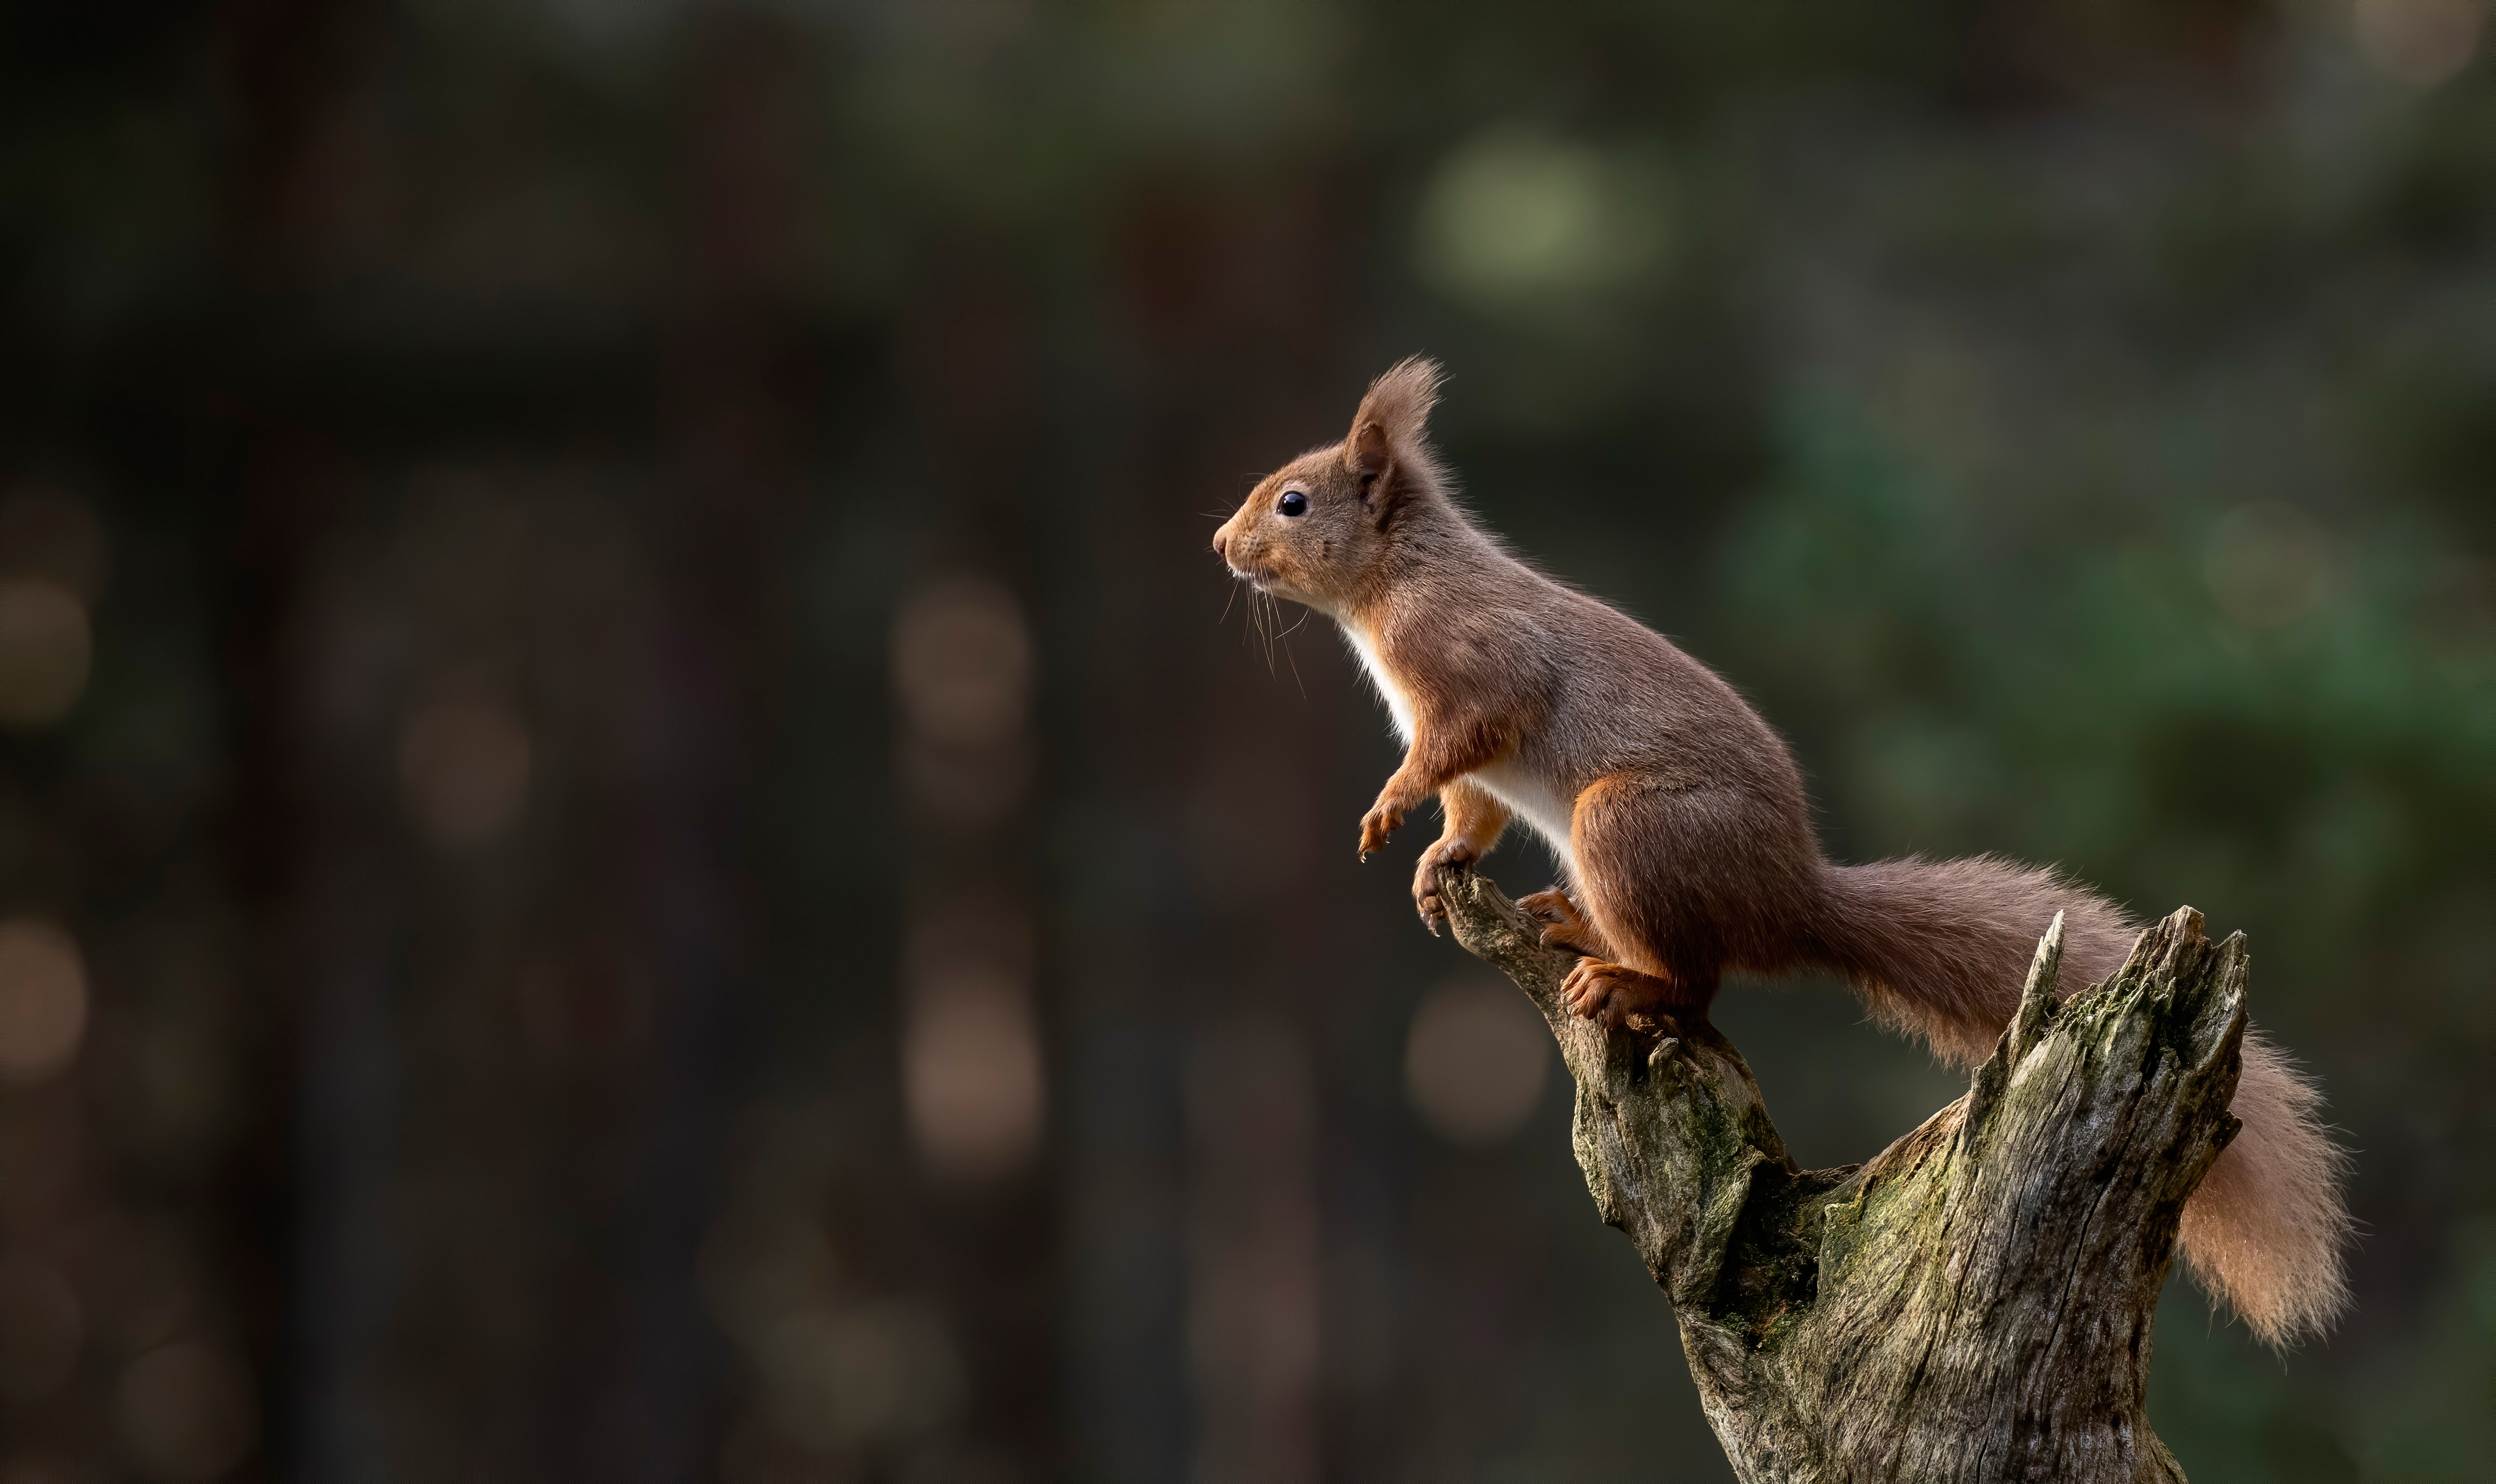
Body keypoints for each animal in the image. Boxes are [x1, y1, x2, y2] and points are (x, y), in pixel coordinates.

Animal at [1211, 356, 2352, 1348]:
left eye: (1295, 503)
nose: (1220, 542)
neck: (1396, 582)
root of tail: (1792, 898)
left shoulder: (1475, 674)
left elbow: (1456, 748)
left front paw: (1387, 810)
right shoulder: (1470, 753)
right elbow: (1472, 811)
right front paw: (1437, 858)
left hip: (1623, 825)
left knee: (1700, 982)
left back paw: (1624, 978)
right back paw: (1566, 920)